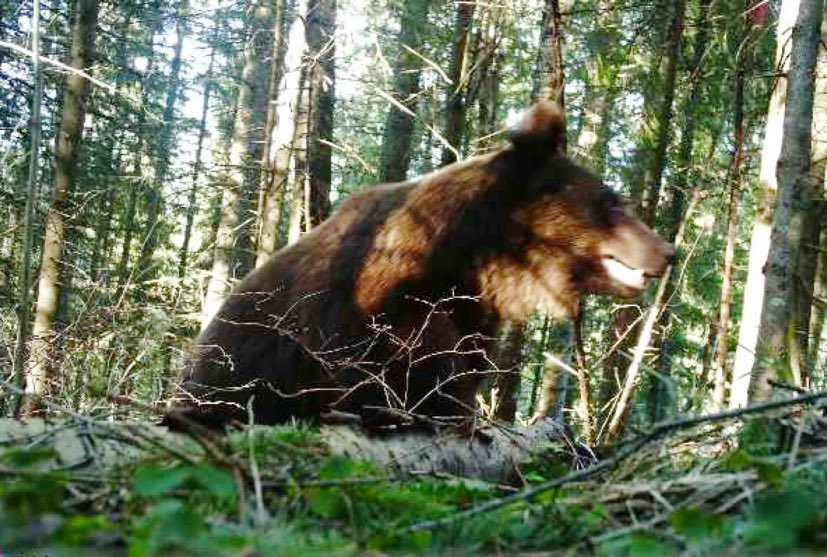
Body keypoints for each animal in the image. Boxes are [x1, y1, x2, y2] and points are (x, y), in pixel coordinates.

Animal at [171, 102, 676, 428]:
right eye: (612, 201)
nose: (668, 250)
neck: (478, 257)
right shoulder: (367, 306)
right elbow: (383, 368)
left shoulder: (471, 310)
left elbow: (462, 371)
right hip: (225, 367)